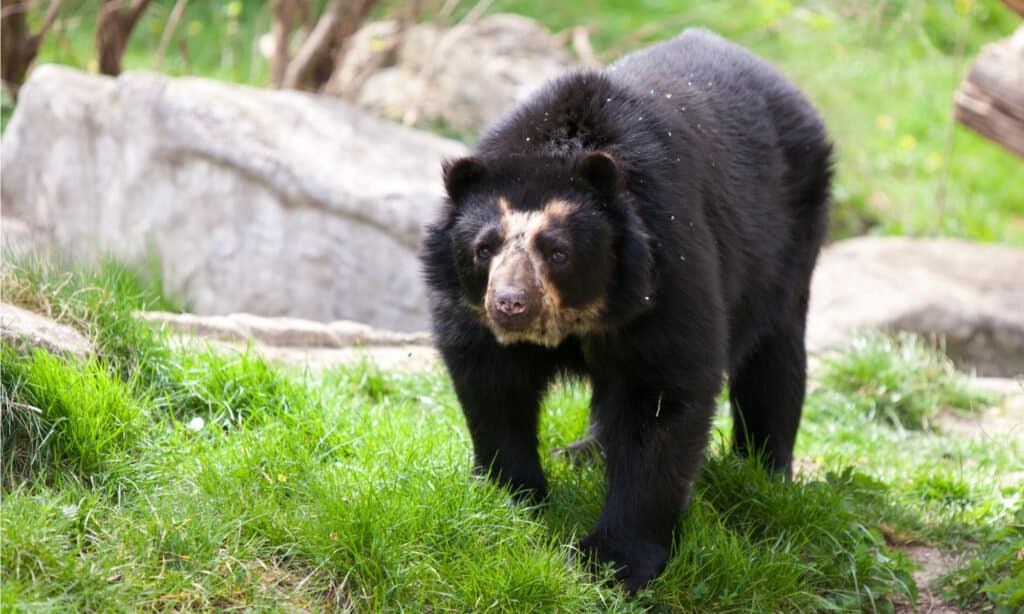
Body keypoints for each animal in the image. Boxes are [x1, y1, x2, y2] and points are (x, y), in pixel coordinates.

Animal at [420, 28, 832, 592]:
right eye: (485, 248)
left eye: (558, 251)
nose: (510, 305)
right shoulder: (471, 315)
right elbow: (492, 385)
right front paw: (509, 498)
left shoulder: (667, 269)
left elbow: (663, 396)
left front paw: (611, 562)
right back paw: (582, 453)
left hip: (789, 238)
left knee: (774, 357)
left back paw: (765, 472)